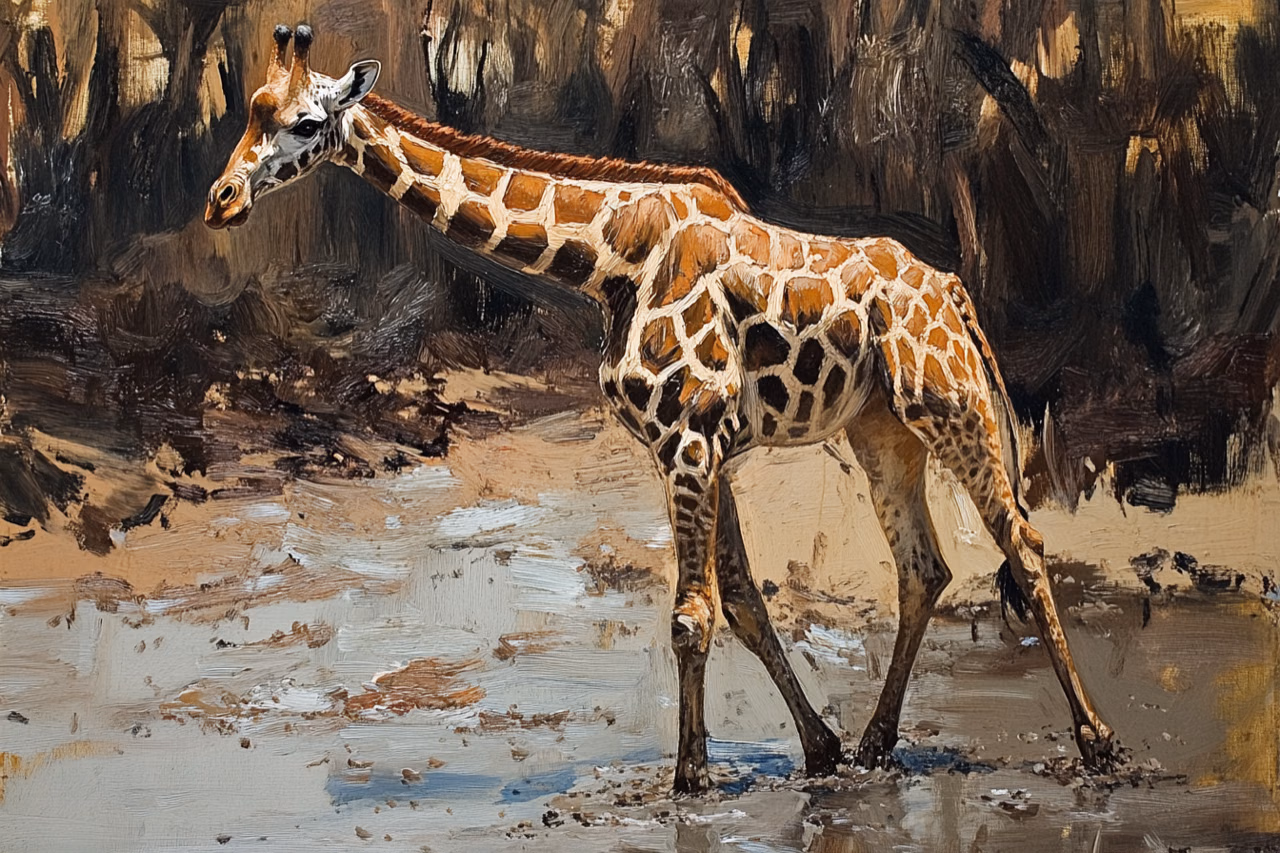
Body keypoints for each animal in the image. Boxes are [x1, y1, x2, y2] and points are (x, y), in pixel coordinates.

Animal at [205, 24, 1118, 793]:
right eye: (252, 112)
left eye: (302, 122)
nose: (220, 200)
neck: (609, 258)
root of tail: (955, 290)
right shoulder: (699, 446)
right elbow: (742, 601)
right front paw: (818, 749)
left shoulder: (690, 439)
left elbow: (692, 614)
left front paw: (691, 778)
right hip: (883, 432)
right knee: (924, 566)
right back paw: (875, 743)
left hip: (953, 409)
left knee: (1025, 546)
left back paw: (1098, 743)